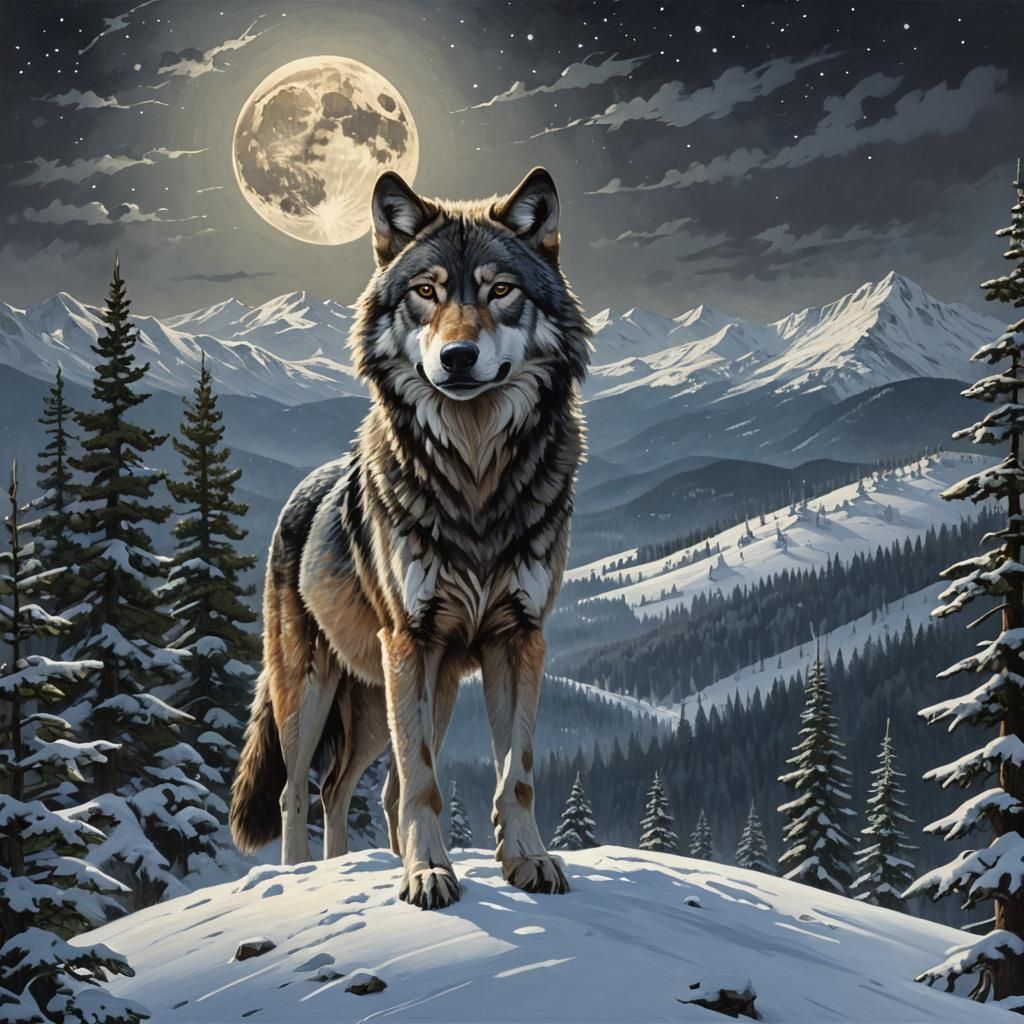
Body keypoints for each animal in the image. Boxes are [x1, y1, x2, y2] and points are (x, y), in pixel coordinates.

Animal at [229, 167, 590, 909]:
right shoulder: (411, 641)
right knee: (297, 791)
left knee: (351, 787)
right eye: (427, 292)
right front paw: (427, 875)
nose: (458, 356)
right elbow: (424, 782)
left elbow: (516, 771)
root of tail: (299, 494)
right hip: (314, 692)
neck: (474, 477)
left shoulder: (520, 638)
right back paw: (304, 876)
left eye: (500, 291)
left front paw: (528, 862)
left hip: (406, 695)